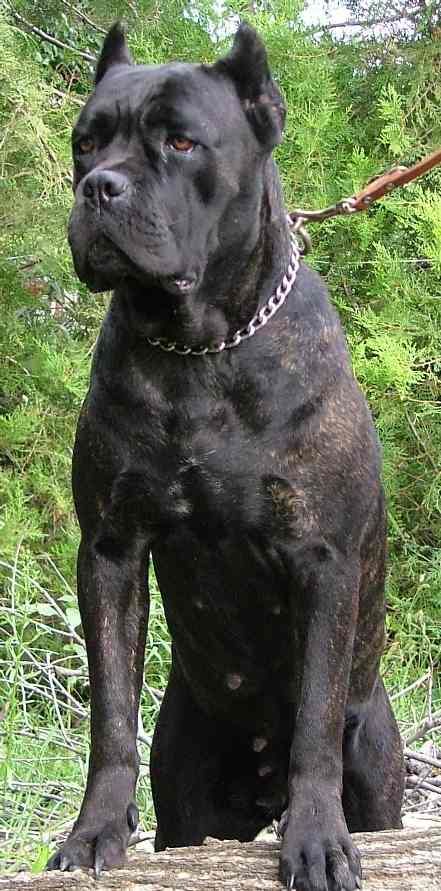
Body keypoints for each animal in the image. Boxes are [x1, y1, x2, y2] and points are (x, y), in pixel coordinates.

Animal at [47, 22, 402, 891]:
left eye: (181, 141)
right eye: (86, 142)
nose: (100, 187)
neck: (199, 350)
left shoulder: (322, 560)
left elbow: (313, 721)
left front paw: (316, 840)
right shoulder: (109, 548)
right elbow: (111, 715)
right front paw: (94, 830)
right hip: (188, 791)